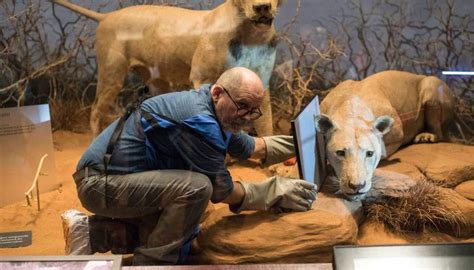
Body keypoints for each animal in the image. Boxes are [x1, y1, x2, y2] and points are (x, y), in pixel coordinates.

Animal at [51, 0, 282, 137]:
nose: (262, 7)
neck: (251, 33)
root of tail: (107, 16)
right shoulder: (202, 76)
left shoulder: (260, 80)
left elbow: (267, 122)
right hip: (112, 75)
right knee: (96, 110)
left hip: (156, 81)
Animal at [314, 70, 456, 201]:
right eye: (340, 152)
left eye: (370, 153)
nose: (357, 186)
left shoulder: (397, 133)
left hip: (432, 85)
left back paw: (426, 137)